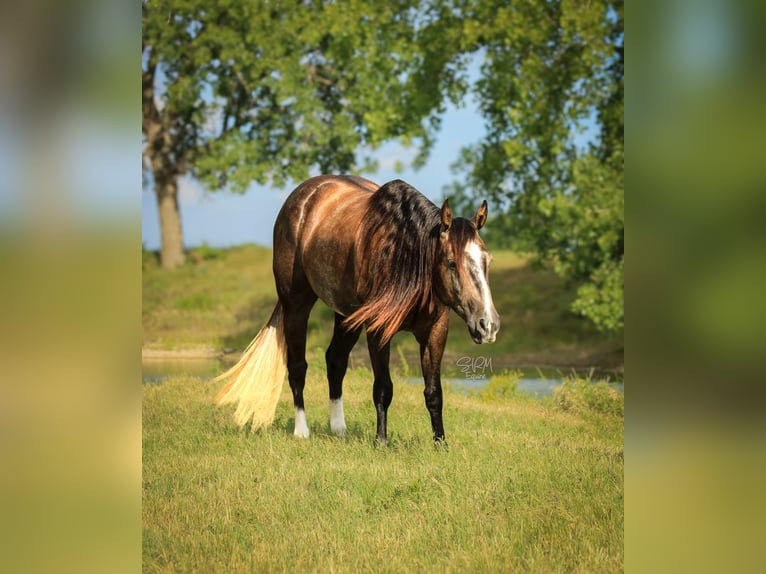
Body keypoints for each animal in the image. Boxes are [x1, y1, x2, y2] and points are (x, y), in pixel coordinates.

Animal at [215, 175, 499, 444]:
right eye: (452, 262)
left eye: (487, 259)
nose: (488, 325)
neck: (403, 260)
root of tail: (302, 197)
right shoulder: (378, 330)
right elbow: (383, 388)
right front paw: (381, 441)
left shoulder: (435, 332)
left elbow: (434, 392)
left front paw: (440, 443)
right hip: (295, 304)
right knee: (298, 366)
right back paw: (301, 431)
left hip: (345, 316)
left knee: (335, 361)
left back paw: (339, 430)